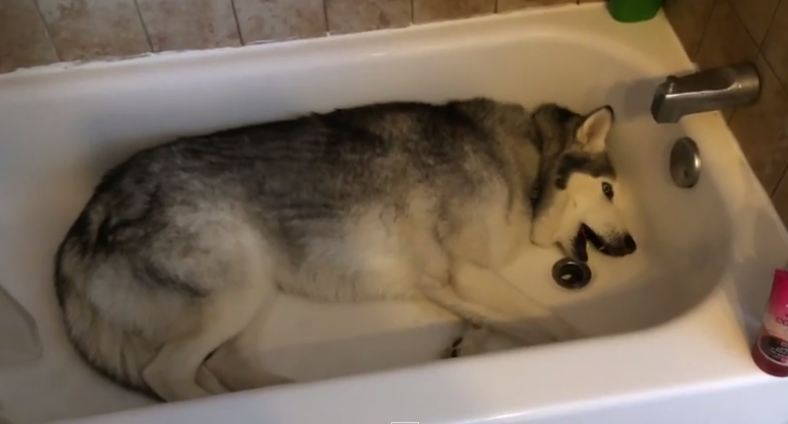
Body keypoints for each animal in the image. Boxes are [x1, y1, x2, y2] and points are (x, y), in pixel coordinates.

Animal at [53, 98, 636, 400]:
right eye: (609, 190)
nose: (631, 245)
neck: (524, 161)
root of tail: (91, 213)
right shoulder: (468, 272)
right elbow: (554, 324)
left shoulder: (449, 284)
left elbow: (506, 322)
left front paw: (472, 343)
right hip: (236, 290)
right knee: (168, 374)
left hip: (255, 292)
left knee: (227, 365)